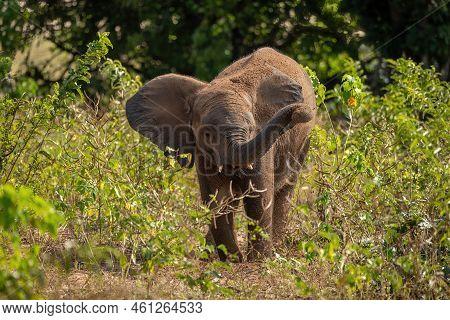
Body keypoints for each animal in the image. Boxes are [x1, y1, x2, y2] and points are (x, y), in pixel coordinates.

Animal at [125, 48, 316, 262]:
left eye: (250, 129)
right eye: (207, 134)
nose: (300, 112)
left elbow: (258, 196)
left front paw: (258, 261)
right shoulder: (202, 150)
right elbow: (218, 196)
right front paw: (233, 260)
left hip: (303, 142)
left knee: (285, 189)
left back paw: (276, 251)